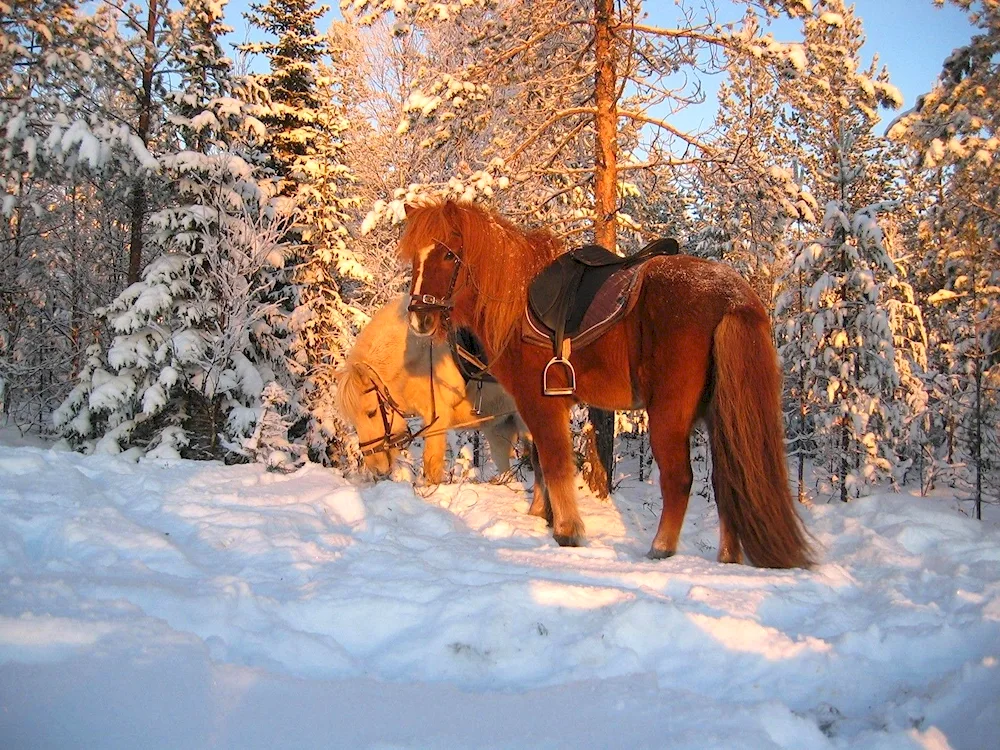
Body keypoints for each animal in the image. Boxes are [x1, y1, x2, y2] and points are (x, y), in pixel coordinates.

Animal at [398, 200, 812, 568]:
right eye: (414, 258)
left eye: (448, 255)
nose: (419, 318)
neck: (515, 301)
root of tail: (731, 296)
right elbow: (540, 461)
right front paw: (541, 515)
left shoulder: (539, 403)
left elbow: (554, 463)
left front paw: (567, 531)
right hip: (719, 415)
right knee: (729, 479)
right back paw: (727, 556)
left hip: (669, 416)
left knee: (679, 480)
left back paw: (661, 548)